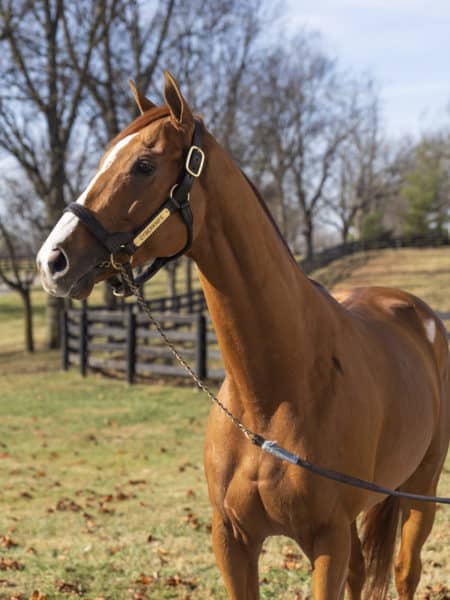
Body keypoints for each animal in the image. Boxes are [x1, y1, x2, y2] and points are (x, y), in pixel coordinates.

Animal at [37, 72, 450, 596]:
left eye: (144, 165)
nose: (52, 261)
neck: (273, 396)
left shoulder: (327, 540)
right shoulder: (232, 540)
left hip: (421, 493)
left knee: (404, 571)